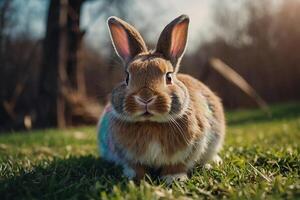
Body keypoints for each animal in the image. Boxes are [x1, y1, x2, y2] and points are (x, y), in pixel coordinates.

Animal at [98, 14, 225, 184]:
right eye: (127, 77)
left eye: (169, 77)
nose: (145, 98)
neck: (151, 124)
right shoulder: (129, 157)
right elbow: (136, 167)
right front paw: (134, 178)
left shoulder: (188, 151)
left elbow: (177, 166)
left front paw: (174, 178)